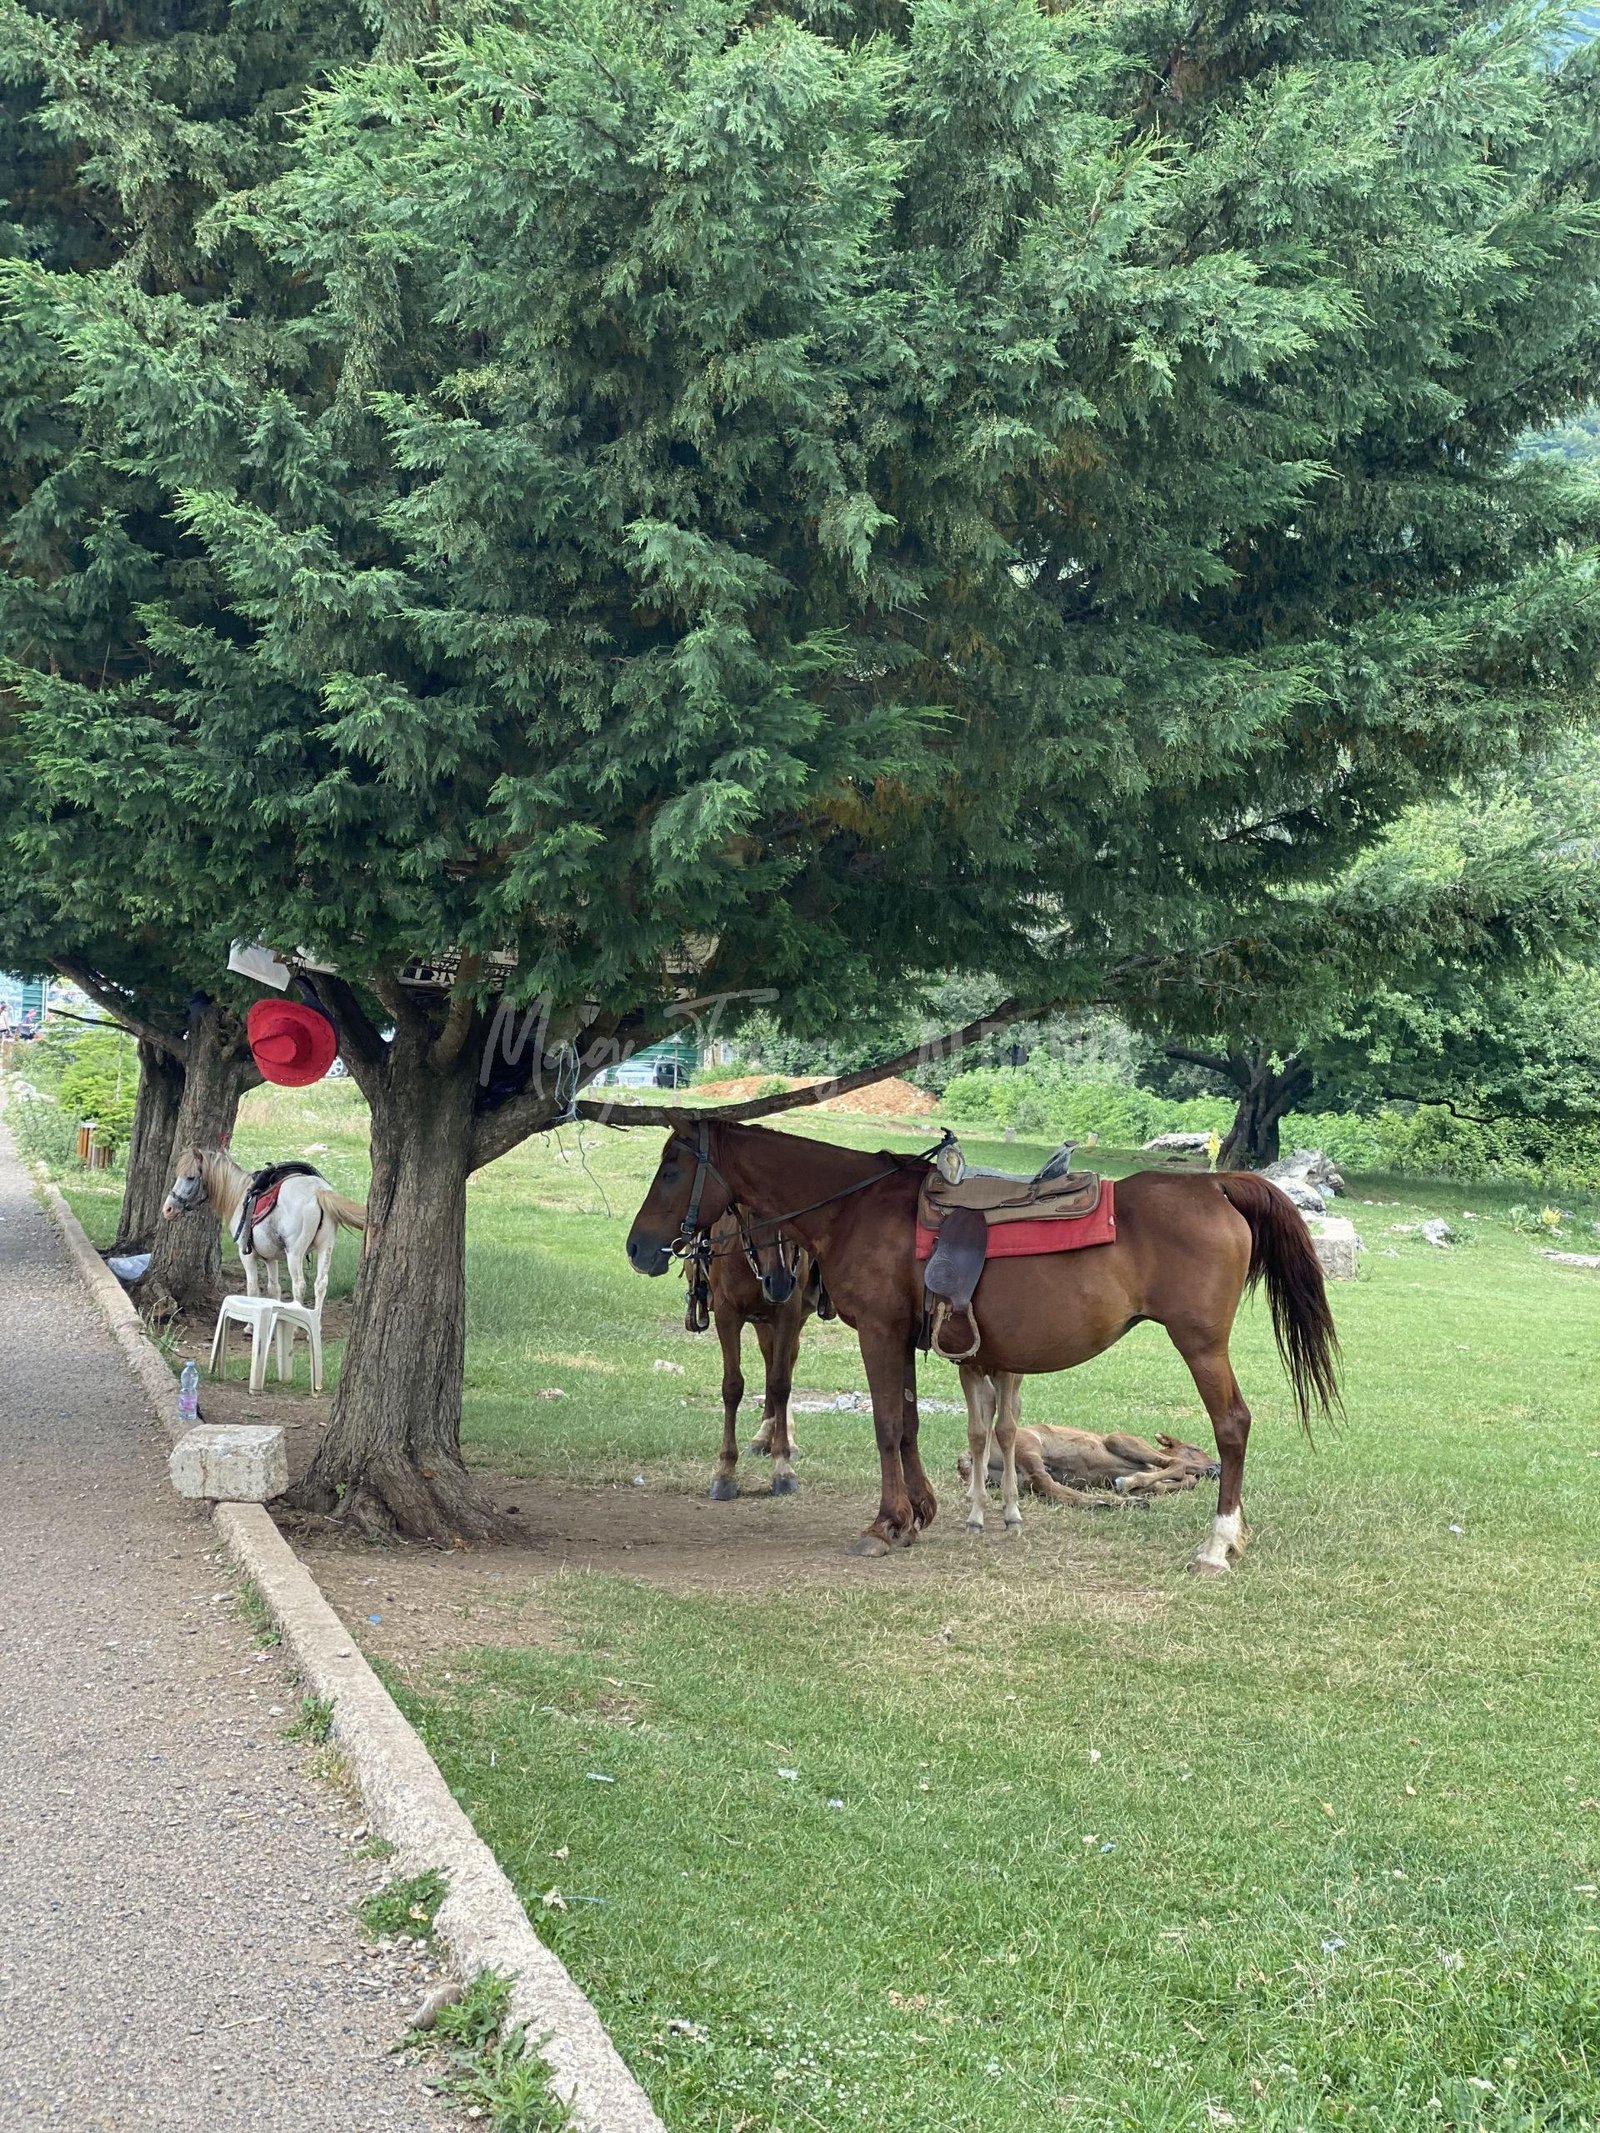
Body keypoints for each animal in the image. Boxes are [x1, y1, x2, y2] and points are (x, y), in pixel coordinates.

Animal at [165, 1151, 373, 1313]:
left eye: (190, 1177)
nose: (167, 1209)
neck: (240, 1196)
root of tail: (318, 1190)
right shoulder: (270, 1258)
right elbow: (274, 1289)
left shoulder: (246, 1254)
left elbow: (253, 1289)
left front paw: (250, 1327)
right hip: (325, 1247)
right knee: (320, 1284)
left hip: (294, 1253)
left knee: (299, 1285)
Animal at [627, 1126, 1339, 1578]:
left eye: (671, 1166)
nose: (638, 1247)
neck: (857, 1209)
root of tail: (1216, 1186)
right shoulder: (903, 1337)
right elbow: (909, 1424)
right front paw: (917, 1516)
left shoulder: (878, 1331)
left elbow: (886, 1425)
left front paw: (883, 1527)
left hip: (1200, 1345)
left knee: (1231, 1427)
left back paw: (1217, 1546)